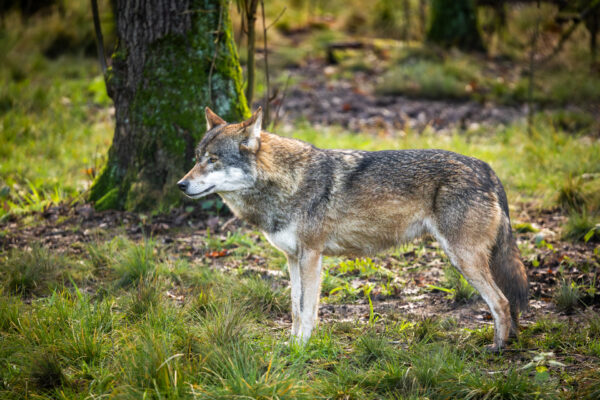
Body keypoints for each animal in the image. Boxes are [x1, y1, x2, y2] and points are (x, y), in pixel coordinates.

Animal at [179, 106, 528, 350]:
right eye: (196, 158)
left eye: (213, 160)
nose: (181, 185)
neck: (287, 183)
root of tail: (485, 168)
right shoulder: (292, 258)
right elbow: (294, 307)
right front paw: (289, 345)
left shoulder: (311, 256)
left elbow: (307, 309)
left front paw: (301, 350)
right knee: (507, 303)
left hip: (462, 259)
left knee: (501, 302)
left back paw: (497, 349)